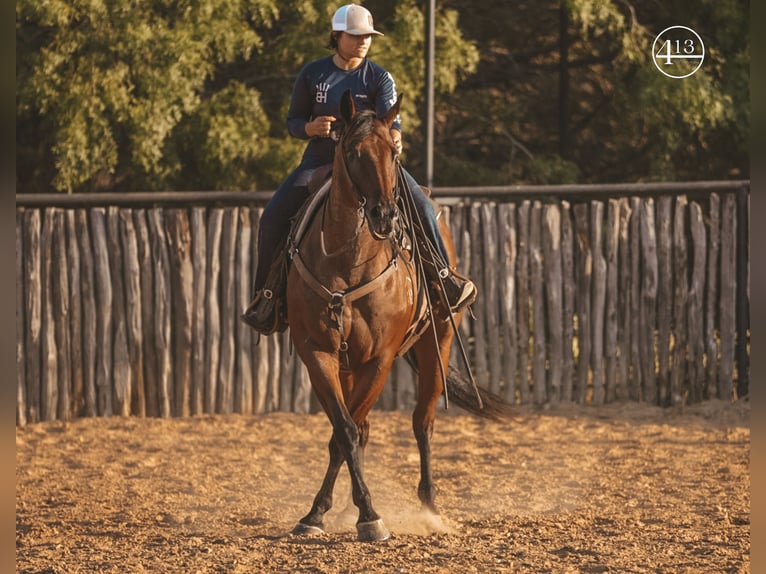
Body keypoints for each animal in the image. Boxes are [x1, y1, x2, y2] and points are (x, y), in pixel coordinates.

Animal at [286, 90, 498, 544]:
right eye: (352, 151)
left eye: (393, 153)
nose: (385, 215)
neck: (348, 262)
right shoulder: (318, 354)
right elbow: (345, 431)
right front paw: (323, 513)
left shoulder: (379, 359)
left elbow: (348, 432)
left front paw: (368, 516)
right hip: (349, 366)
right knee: (361, 430)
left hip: (437, 343)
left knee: (423, 422)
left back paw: (430, 506)